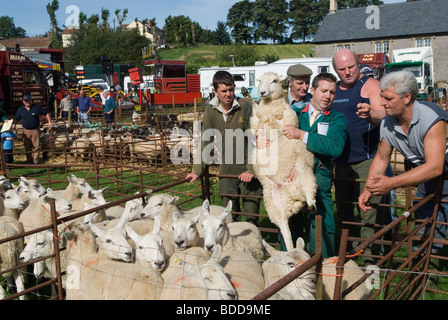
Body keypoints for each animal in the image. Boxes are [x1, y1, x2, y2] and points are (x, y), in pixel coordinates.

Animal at [243, 71, 316, 251]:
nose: (261, 92)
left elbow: (275, 110)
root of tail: (292, 195)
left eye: (274, 80)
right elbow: (256, 110)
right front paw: (246, 94)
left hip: (303, 170)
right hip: (273, 207)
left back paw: (312, 204)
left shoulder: (283, 122)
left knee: (309, 189)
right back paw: (289, 252)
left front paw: (283, 88)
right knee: (286, 232)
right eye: (259, 81)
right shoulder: (256, 122)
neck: (271, 104)